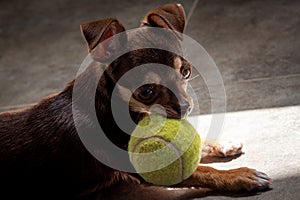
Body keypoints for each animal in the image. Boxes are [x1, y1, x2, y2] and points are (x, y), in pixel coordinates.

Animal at [0, 3, 270, 200]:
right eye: (146, 92)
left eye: (185, 71)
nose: (185, 107)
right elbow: (204, 171)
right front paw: (240, 175)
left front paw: (222, 143)